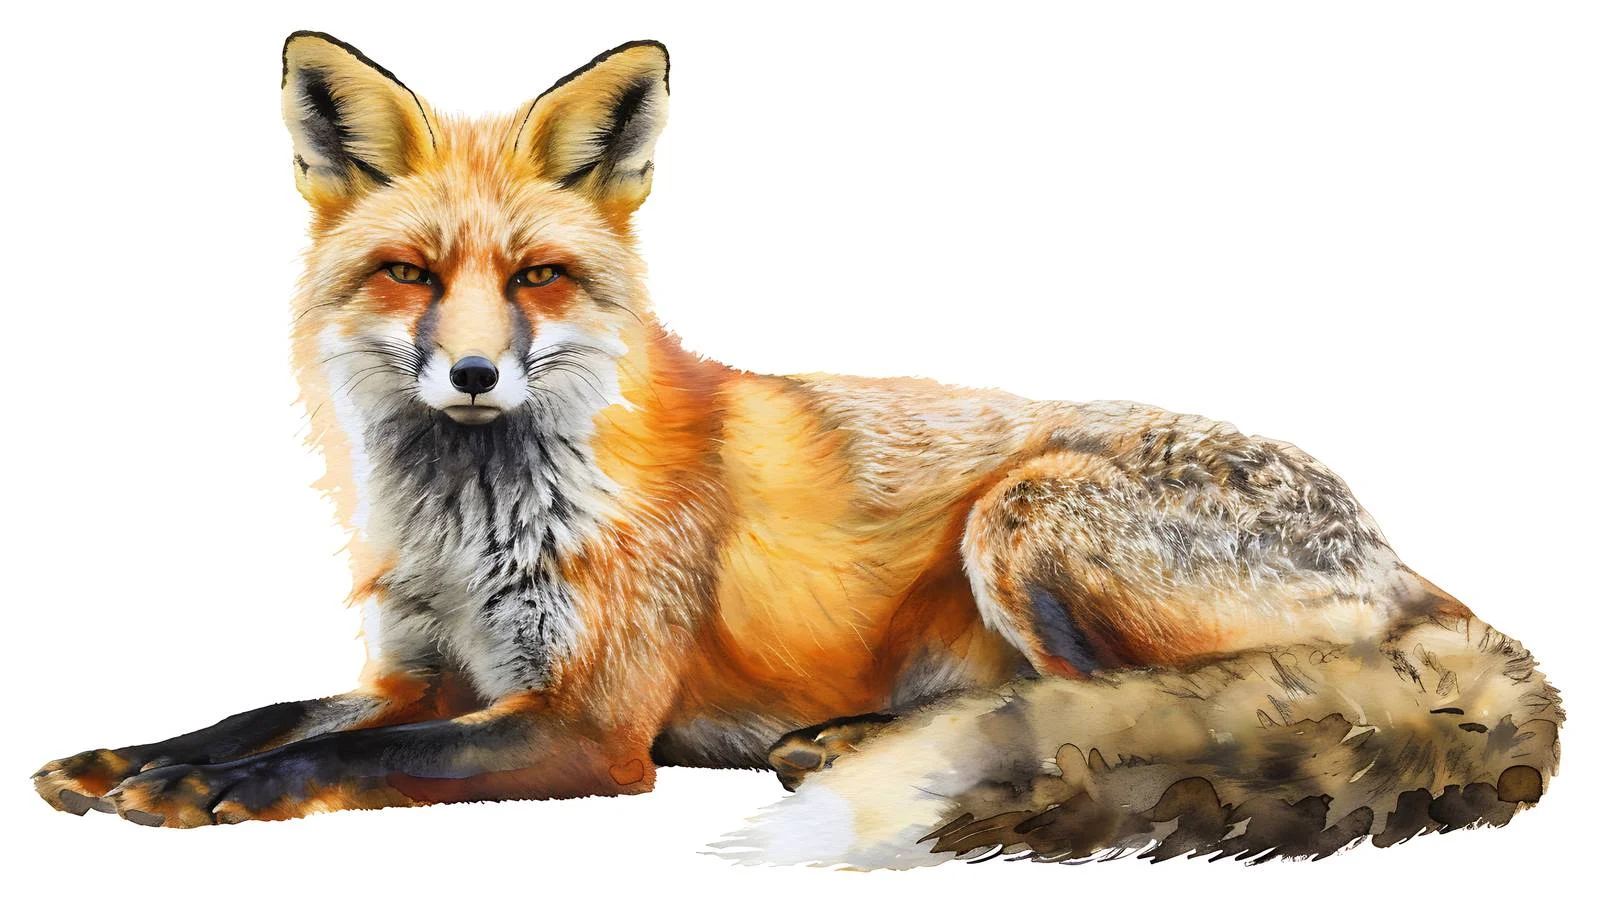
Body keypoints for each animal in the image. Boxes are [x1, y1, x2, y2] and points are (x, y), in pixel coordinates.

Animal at [32, 32, 1561, 868]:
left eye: (535, 278)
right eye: (408, 272)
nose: (471, 374)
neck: (469, 528)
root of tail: (1403, 558)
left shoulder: (583, 720)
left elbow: (343, 759)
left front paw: (209, 794)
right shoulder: (428, 671)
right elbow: (269, 716)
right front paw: (133, 758)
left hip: (1026, 520)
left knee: (1147, 703)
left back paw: (861, 746)